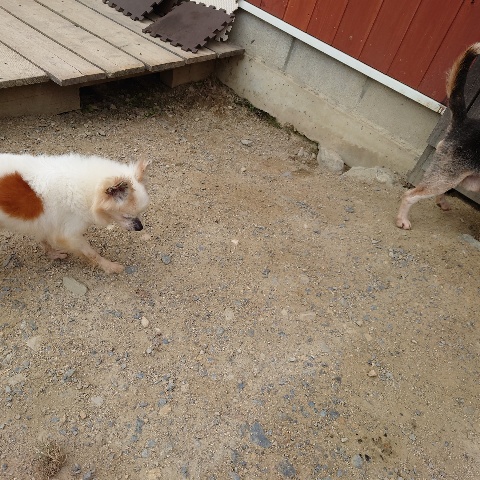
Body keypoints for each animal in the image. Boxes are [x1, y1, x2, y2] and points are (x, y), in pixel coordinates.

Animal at [0, 153, 149, 273]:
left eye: (140, 214)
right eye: (126, 215)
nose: (140, 227)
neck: (87, 191)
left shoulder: (45, 223)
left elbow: (44, 240)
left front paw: (53, 254)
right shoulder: (69, 234)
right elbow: (91, 254)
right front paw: (110, 267)